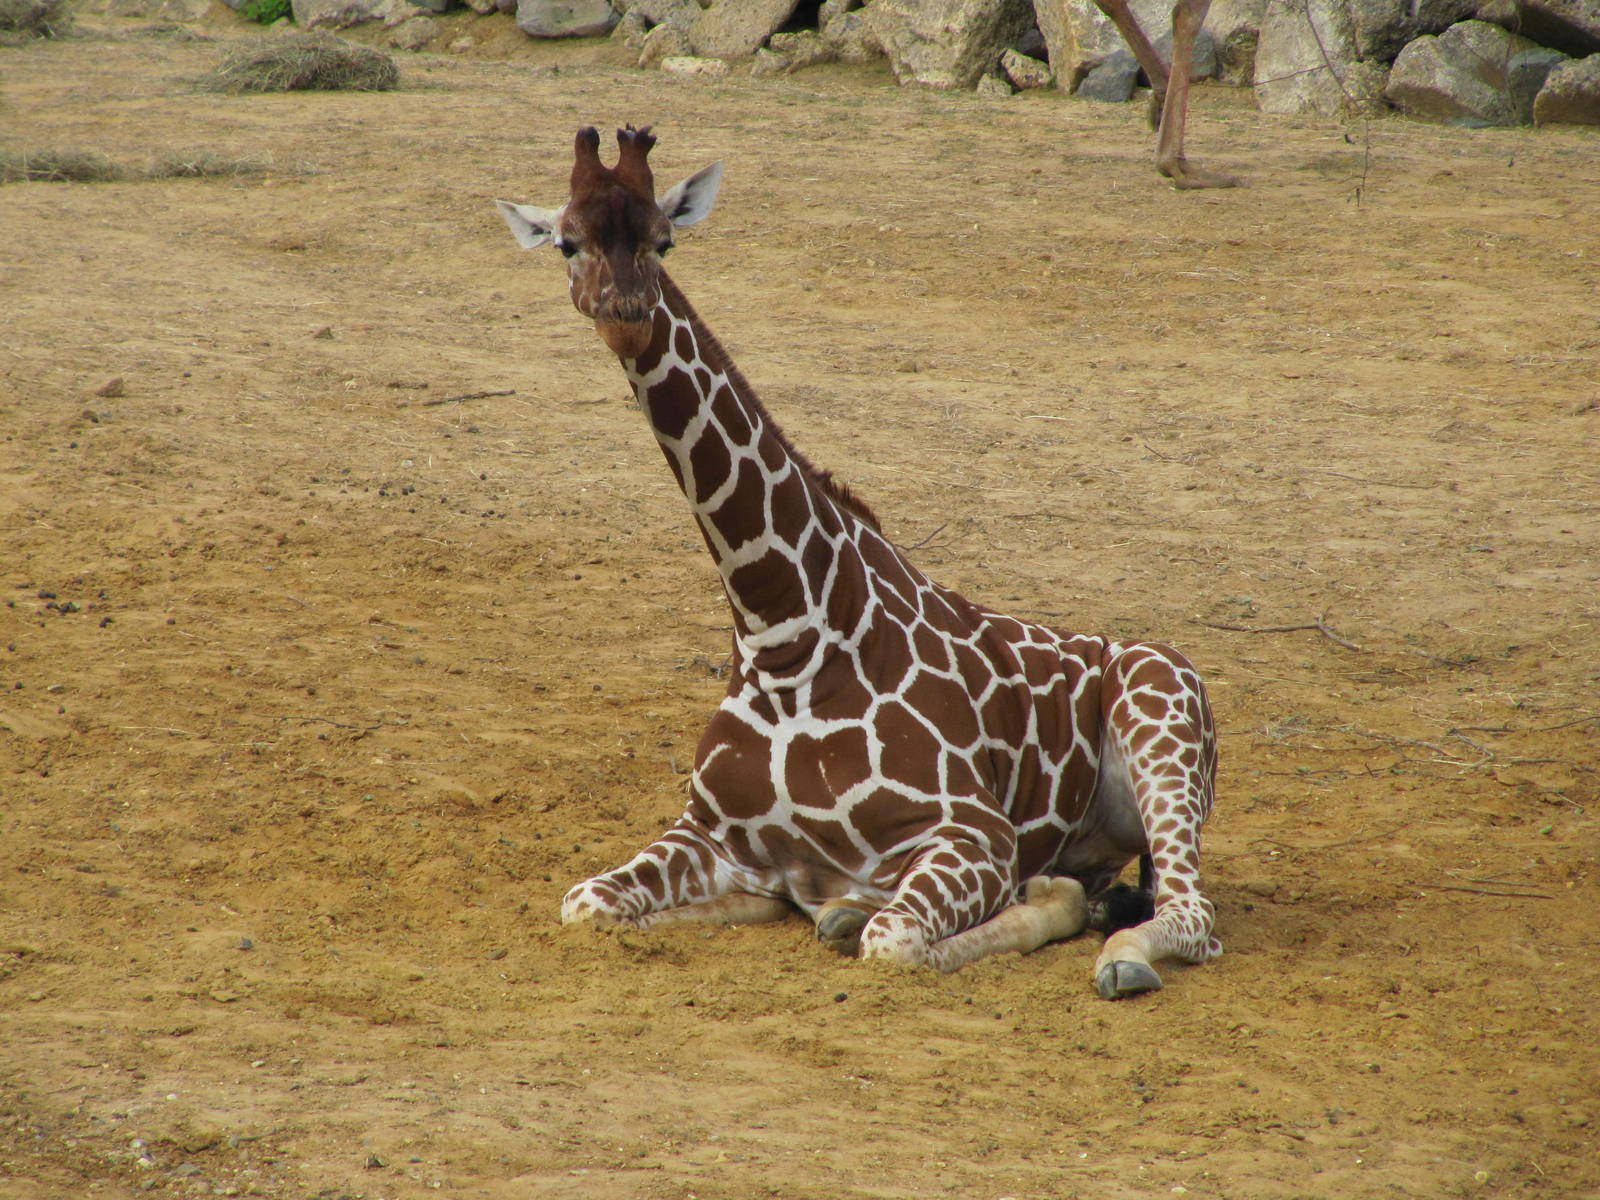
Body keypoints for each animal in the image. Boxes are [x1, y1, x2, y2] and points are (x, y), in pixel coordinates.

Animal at [495, 126, 1222, 998]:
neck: (785, 626)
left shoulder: (976, 832)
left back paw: (1118, 952)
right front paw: (788, 901)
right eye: (568, 242)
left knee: (1188, 913)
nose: (627, 312)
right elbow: (587, 903)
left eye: (663, 240)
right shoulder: (709, 832)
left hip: (1161, 704)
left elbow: (895, 940)